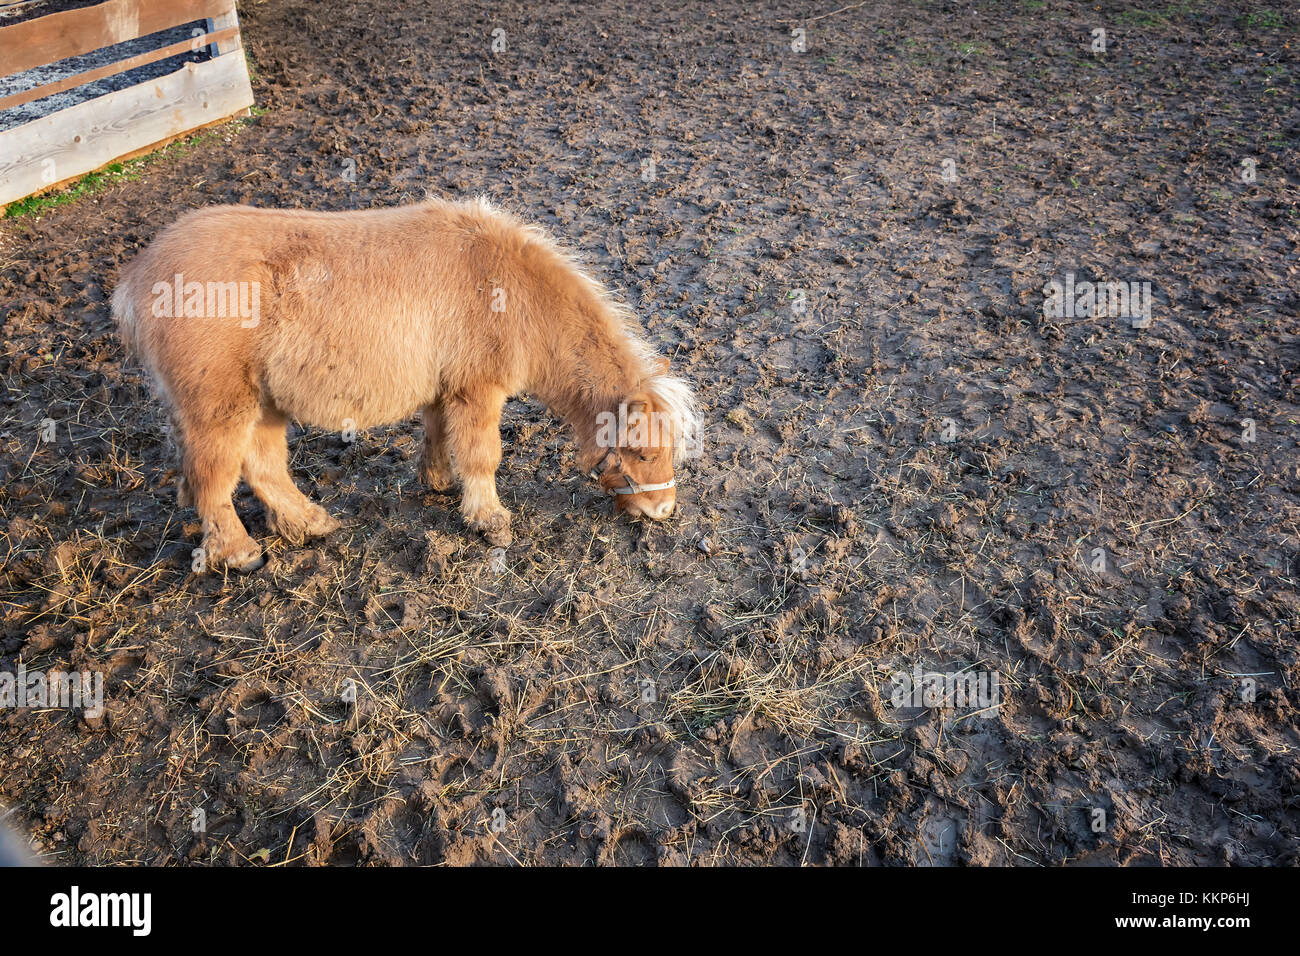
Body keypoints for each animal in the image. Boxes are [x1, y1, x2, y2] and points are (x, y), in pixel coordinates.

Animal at [113, 195, 702, 567]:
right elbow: (483, 455)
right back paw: (239, 554)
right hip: (220, 404)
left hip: (262, 401)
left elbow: (439, 437)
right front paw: (490, 521)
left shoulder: (446, 391)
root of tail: (137, 279)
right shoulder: (477, 391)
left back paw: (309, 524)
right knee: (213, 475)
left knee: (263, 466)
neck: (507, 290)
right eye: (644, 453)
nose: (664, 511)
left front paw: (439, 482)